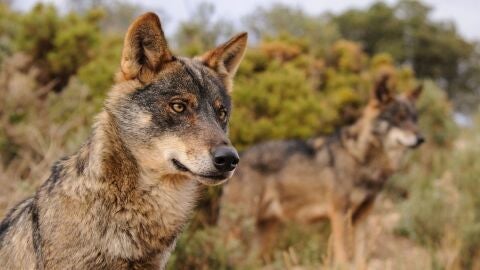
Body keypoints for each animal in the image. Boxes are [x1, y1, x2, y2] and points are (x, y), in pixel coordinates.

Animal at [218, 76, 424, 266]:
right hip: (239, 226)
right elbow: (343, 257)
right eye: (399, 118)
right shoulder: (339, 214)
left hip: (264, 232)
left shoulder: (362, 217)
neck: (360, 158)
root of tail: (239, 157)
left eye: (414, 119)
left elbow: (361, 259)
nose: (421, 138)